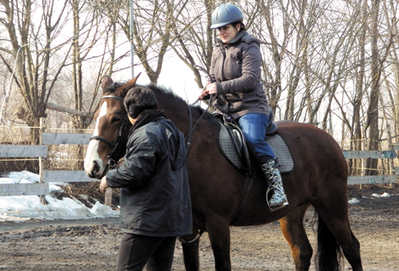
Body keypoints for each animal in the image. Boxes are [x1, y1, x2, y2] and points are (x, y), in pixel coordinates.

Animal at [83, 75, 362, 271]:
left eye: (116, 117)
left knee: (351, 248)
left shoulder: (218, 224)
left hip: (332, 207)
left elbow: (223, 265)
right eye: (96, 116)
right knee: (302, 252)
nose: (92, 166)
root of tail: (330, 140)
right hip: (292, 213)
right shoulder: (189, 231)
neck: (191, 147)